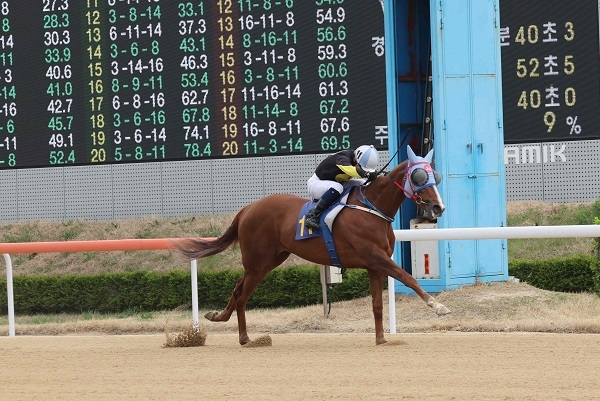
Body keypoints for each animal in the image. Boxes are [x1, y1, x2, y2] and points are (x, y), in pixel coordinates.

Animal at [173, 146, 450, 344]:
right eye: (418, 176)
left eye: (435, 175)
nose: (439, 207)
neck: (372, 208)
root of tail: (247, 209)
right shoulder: (376, 257)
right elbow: (408, 278)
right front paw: (438, 306)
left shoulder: (375, 266)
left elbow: (377, 304)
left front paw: (381, 339)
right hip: (258, 262)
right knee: (242, 294)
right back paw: (244, 338)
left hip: (268, 261)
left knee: (238, 286)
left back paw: (219, 316)